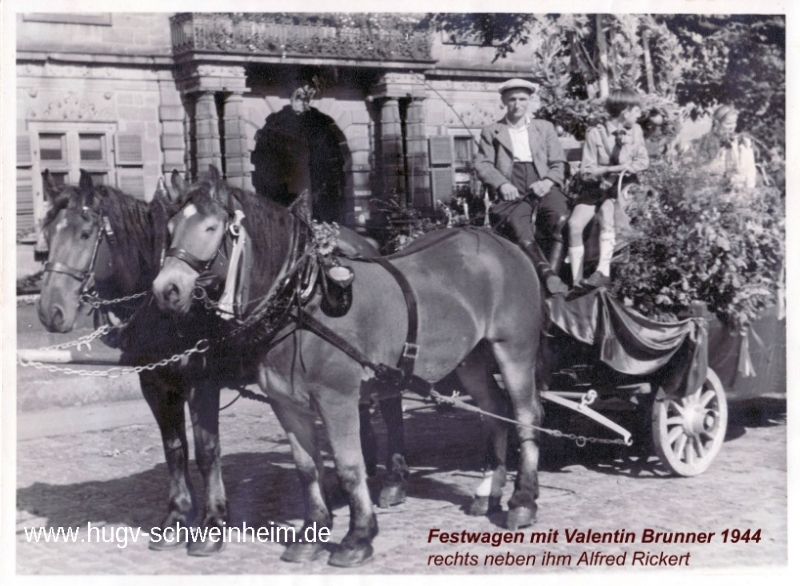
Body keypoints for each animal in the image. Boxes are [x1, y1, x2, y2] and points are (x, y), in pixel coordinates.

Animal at [153, 165, 548, 564]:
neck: (302, 299)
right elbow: (307, 468)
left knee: (526, 414)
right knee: (494, 409)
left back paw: (522, 501)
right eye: (168, 229)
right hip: (471, 357)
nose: (165, 289)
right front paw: (311, 534)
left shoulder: (337, 399)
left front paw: (358, 537)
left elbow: (348, 466)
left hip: (514, 349)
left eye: (211, 228)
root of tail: (497, 240)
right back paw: (488, 492)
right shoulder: (286, 403)